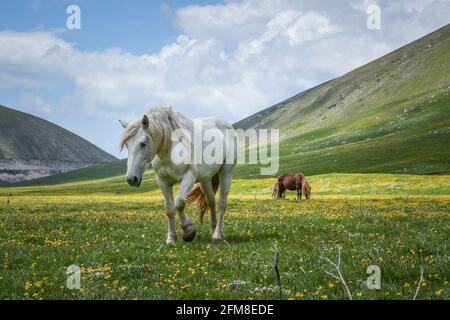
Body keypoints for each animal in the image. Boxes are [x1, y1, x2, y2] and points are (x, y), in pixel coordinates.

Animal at [121, 106, 237, 244]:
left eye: (143, 143)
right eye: (127, 145)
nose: (131, 179)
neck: (169, 149)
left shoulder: (188, 178)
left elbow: (179, 203)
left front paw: (189, 231)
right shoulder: (163, 181)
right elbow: (170, 209)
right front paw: (171, 238)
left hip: (226, 173)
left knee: (221, 203)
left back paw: (217, 235)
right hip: (205, 179)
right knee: (211, 202)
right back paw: (214, 230)